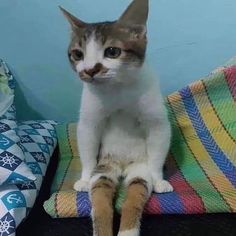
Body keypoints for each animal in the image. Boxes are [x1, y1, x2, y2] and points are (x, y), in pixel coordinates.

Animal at [60, 0, 172, 236]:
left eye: (112, 51)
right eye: (78, 54)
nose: (89, 70)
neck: (117, 88)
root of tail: (121, 166)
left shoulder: (157, 122)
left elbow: (158, 141)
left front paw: (159, 180)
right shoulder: (89, 122)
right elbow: (88, 146)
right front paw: (84, 179)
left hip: (139, 169)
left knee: (135, 193)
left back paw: (128, 228)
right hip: (104, 168)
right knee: (101, 197)